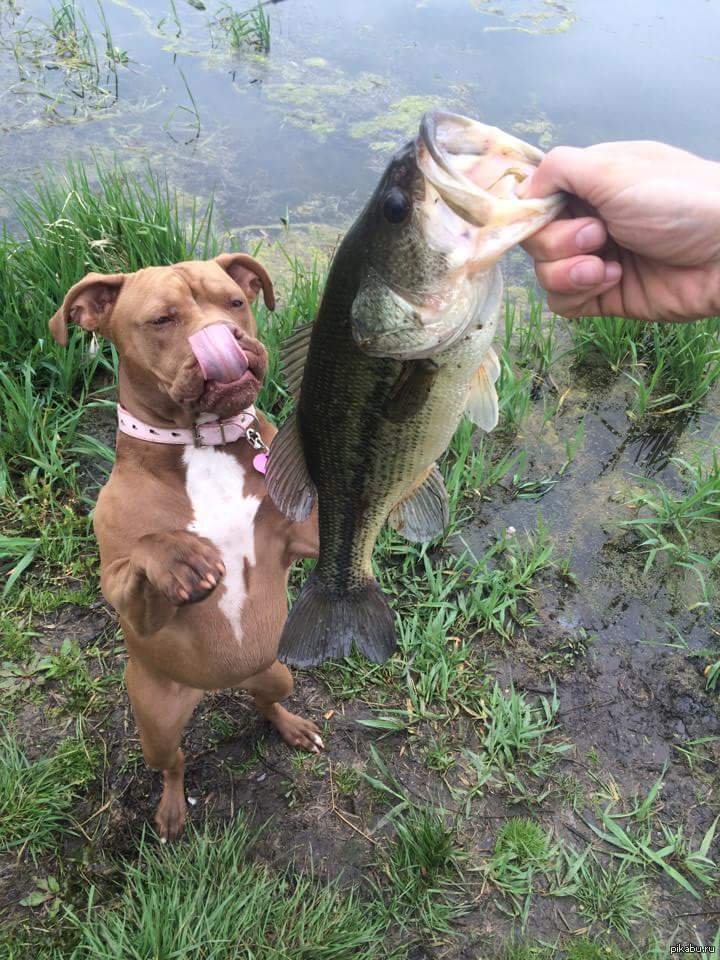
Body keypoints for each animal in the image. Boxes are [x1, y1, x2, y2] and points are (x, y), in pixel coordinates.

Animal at [49, 253, 322, 840]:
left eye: (236, 302)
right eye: (162, 320)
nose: (227, 337)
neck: (202, 444)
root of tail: (218, 687)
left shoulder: (300, 535)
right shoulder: (124, 593)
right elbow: (144, 555)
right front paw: (177, 556)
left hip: (277, 672)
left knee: (267, 704)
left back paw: (292, 727)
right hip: (155, 723)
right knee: (172, 765)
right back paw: (172, 812)